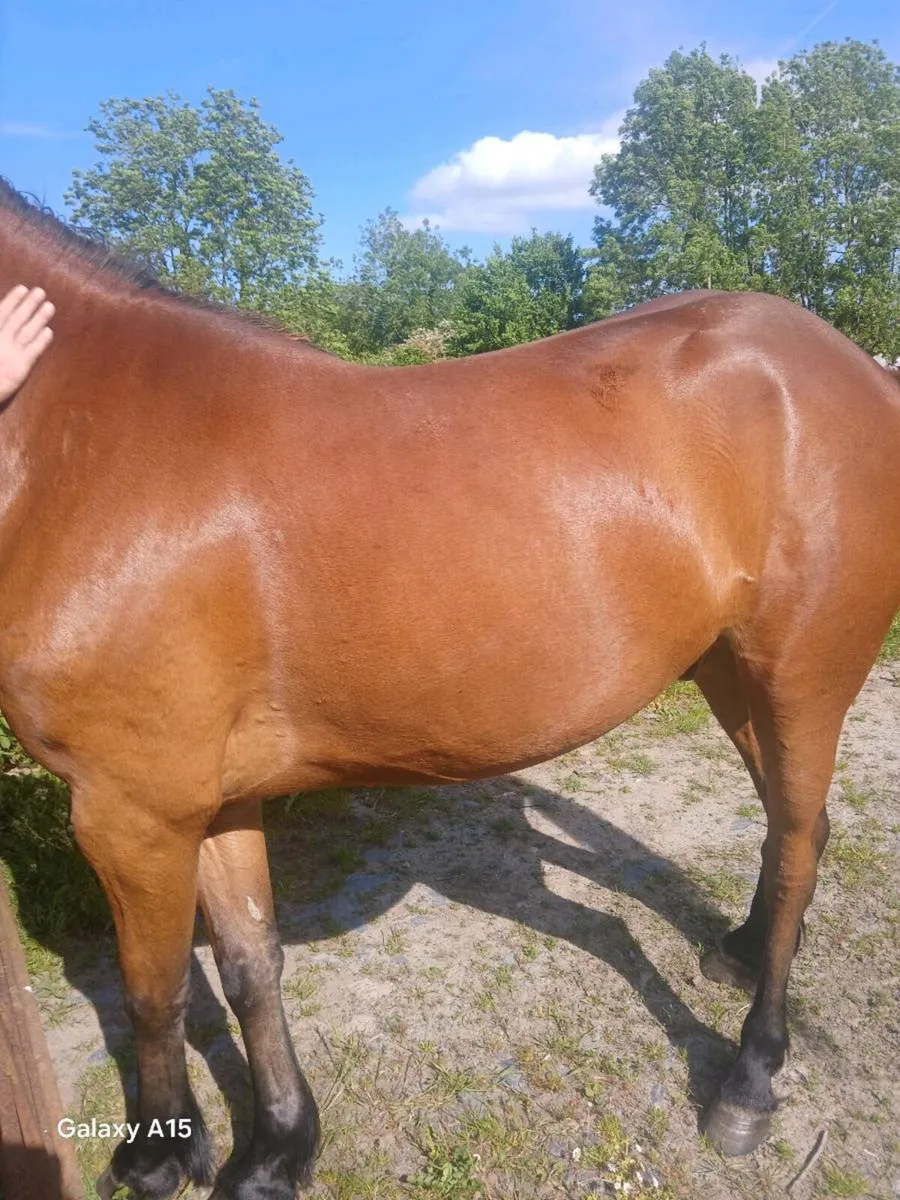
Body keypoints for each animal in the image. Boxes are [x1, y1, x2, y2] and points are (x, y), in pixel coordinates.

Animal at [0, 177, 898, 1200]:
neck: (82, 442)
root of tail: (861, 372)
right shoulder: (208, 799)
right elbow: (249, 964)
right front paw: (277, 1150)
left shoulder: (130, 810)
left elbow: (153, 993)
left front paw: (158, 1159)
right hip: (731, 674)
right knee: (800, 831)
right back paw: (744, 954)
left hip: (803, 679)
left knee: (794, 851)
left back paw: (749, 1078)